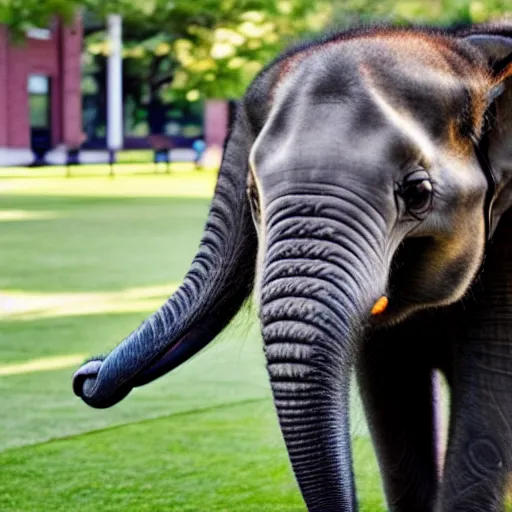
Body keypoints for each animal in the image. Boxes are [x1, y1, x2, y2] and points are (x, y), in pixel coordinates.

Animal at [72, 23, 512, 512]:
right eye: (254, 197)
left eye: (418, 193)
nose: (85, 376)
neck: (472, 49)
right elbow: (394, 404)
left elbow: (483, 426)